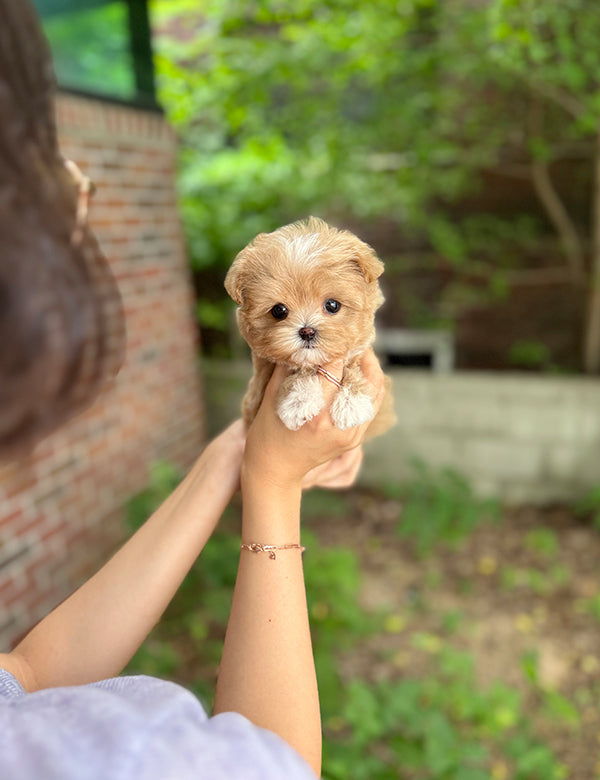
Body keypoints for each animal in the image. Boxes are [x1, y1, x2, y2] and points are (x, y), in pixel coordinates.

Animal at [225, 216, 394, 436]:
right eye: (278, 310)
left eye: (332, 305)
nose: (307, 332)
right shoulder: (258, 389)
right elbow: (301, 371)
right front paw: (300, 400)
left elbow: (353, 368)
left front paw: (352, 403)